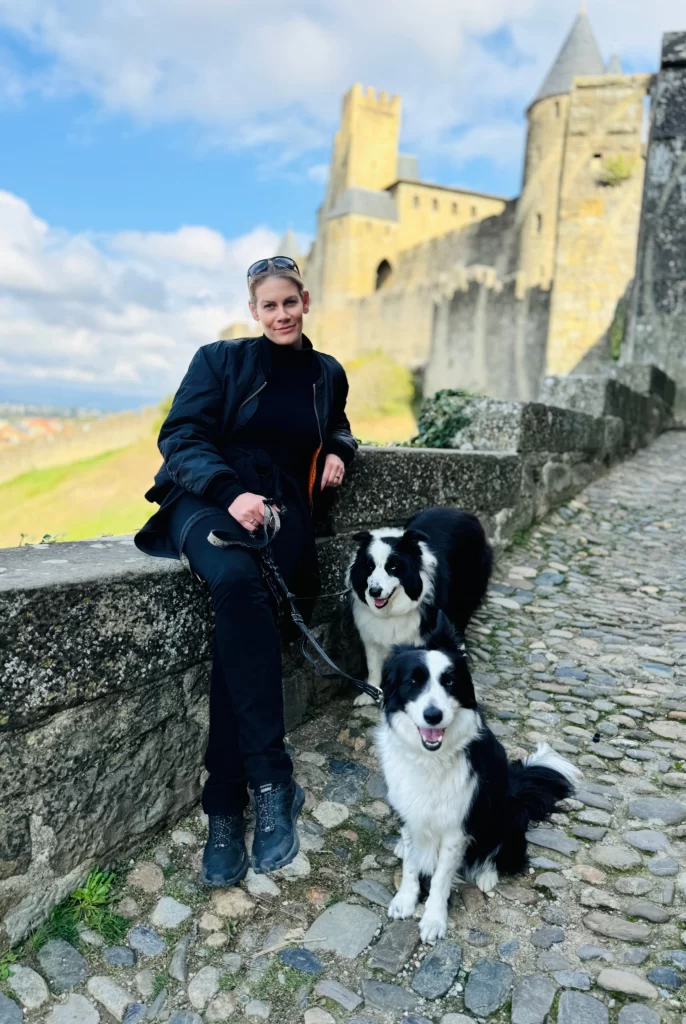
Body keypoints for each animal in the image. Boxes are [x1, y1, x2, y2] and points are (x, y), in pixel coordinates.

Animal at [350, 505, 495, 704]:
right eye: (369, 566)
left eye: (393, 566)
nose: (374, 592)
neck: (393, 610)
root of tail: (464, 513)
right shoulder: (371, 634)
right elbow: (373, 666)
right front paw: (369, 695)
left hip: (466, 593)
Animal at [376, 614, 581, 942]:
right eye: (413, 682)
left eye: (449, 681)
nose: (433, 715)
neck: (430, 758)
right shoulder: (408, 809)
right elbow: (410, 864)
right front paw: (405, 900)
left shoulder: (456, 826)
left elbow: (441, 877)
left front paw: (434, 920)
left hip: (508, 814)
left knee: (506, 851)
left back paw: (487, 874)